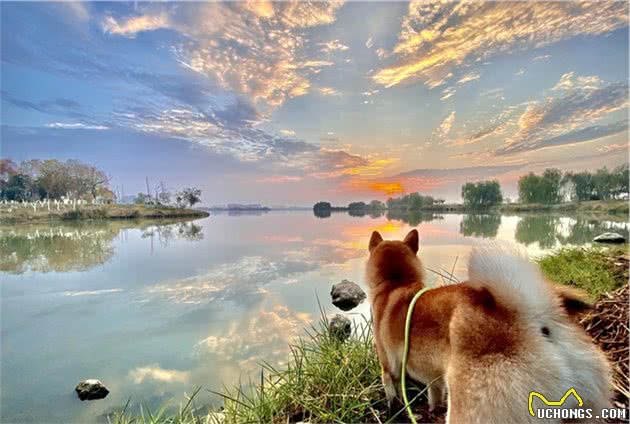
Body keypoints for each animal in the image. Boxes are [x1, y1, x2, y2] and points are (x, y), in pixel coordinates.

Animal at [368, 230, 616, 422]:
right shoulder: (434, 379)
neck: (396, 284)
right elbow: (434, 396)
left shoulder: (389, 367)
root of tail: (536, 324)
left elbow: (391, 392)